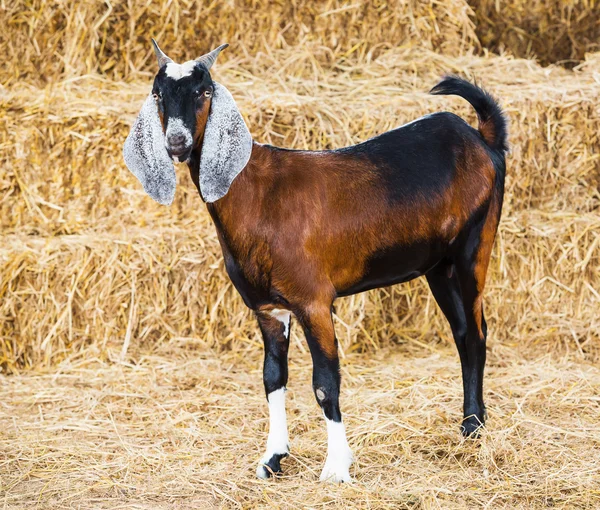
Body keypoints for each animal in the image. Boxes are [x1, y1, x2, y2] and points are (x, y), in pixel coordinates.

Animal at [124, 40, 508, 482]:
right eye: (157, 94)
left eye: (204, 92)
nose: (177, 143)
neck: (257, 194)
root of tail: (482, 137)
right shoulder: (268, 308)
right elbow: (273, 379)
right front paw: (273, 457)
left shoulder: (314, 301)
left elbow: (325, 383)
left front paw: (336, 467)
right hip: (438, 266)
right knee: (462, 332)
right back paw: (469, 424)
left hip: (473, 248)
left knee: (476, 332)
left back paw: (474, 428)